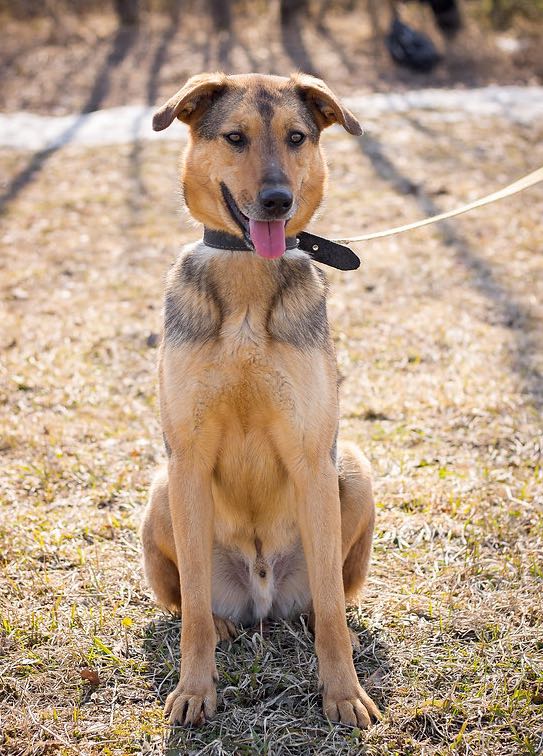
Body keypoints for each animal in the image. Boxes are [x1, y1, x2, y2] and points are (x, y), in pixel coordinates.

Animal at [140, 72, 380, 729]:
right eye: (235, 137)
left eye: (296, 137)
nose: (277, 201)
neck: (248, 282)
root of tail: (263, 596)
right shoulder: (188, 459)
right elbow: (193, 610)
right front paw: (195, 690)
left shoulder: (312, 457)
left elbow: (333, 610)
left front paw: (342, 694)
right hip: (162, 490)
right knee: (192, 602)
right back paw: (225, 624)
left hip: (351, 471)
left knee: (326, 599)